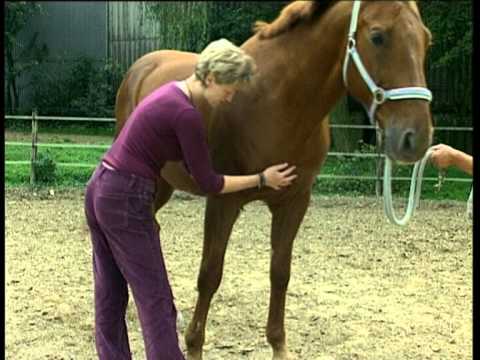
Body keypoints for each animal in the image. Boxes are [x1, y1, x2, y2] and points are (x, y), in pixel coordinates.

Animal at [114, 1, 434, 358]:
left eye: (427, 40)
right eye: (378, 36)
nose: (415, 138)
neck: (275, 103)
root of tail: (142, 66)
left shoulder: (294, 202)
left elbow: (280, 271)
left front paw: (278, 344)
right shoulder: (223, 201)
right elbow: (210, 273)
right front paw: (194, 345)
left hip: (164, 184)